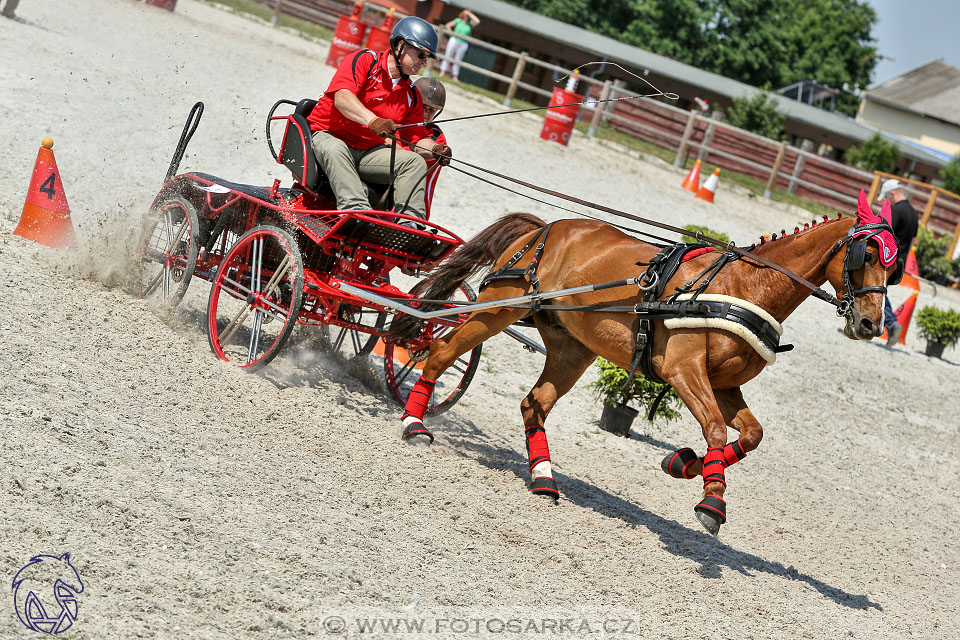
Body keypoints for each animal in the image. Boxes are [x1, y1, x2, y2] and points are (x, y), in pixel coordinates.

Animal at [392, 196, 900, 536]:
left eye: (893, 268)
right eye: (866, 256)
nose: (870, 324)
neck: (741, 287)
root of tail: (542, 229)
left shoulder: (724, 385)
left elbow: (751, 435)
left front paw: (685, 464)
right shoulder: (685, 372)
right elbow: (716, 430)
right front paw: (711, 502)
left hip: (573, 347)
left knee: (535, 403)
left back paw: (544, 479)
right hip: (499, 308)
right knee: (440, 354)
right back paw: (414, 424)